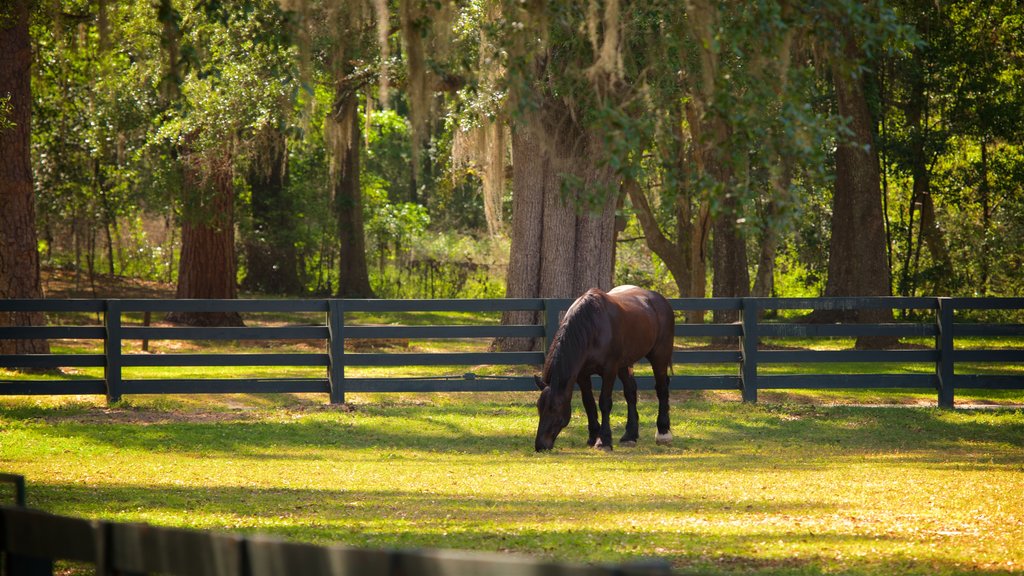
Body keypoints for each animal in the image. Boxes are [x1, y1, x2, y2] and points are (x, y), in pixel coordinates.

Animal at [536, 284, 671, 450]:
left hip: (659, 356)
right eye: (539, 407)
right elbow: (589, 403)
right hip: (625, 364)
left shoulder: (609, 371)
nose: (540, 445)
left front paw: (604, 440)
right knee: (631, 393)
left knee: (662, 389)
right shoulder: (582, 375)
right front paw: (593, 436)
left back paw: (663, 433)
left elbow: (604, 403)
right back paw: (629, 435)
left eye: (554, 408)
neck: (592, 327)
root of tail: (660, 300)